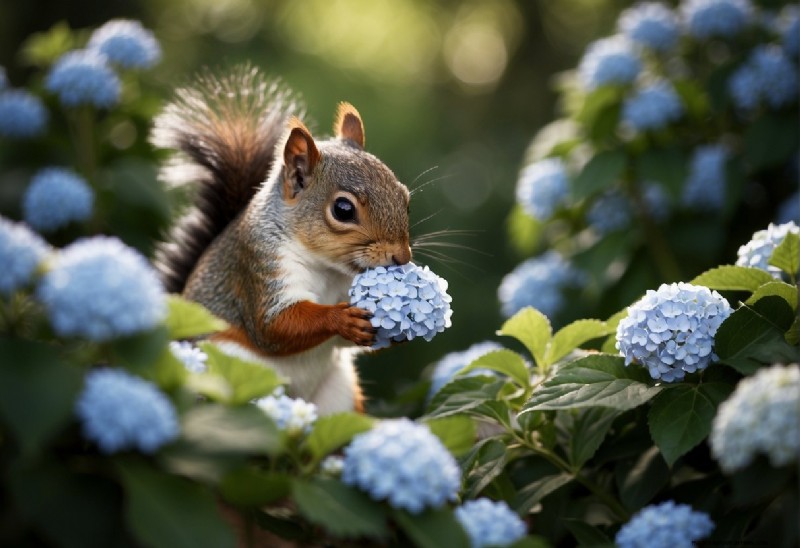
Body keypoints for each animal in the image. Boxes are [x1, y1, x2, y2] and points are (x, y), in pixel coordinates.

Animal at [151, 66, 412, 414]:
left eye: (404, 198)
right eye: (342, 209)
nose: (402, 257)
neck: (328, 268)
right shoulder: (259, 265)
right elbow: (274, 327)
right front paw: (340, 317)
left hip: (339, 394)